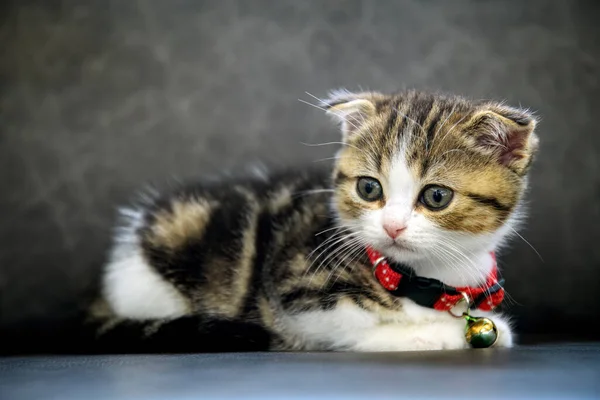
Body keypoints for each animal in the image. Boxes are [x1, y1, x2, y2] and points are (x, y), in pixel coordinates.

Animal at [91, 89, 540, 352]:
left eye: (436, 196)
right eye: (369, 188)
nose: (392, 227)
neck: (428, 278)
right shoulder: (293, 290)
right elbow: (345, 324)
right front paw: (430, 332)